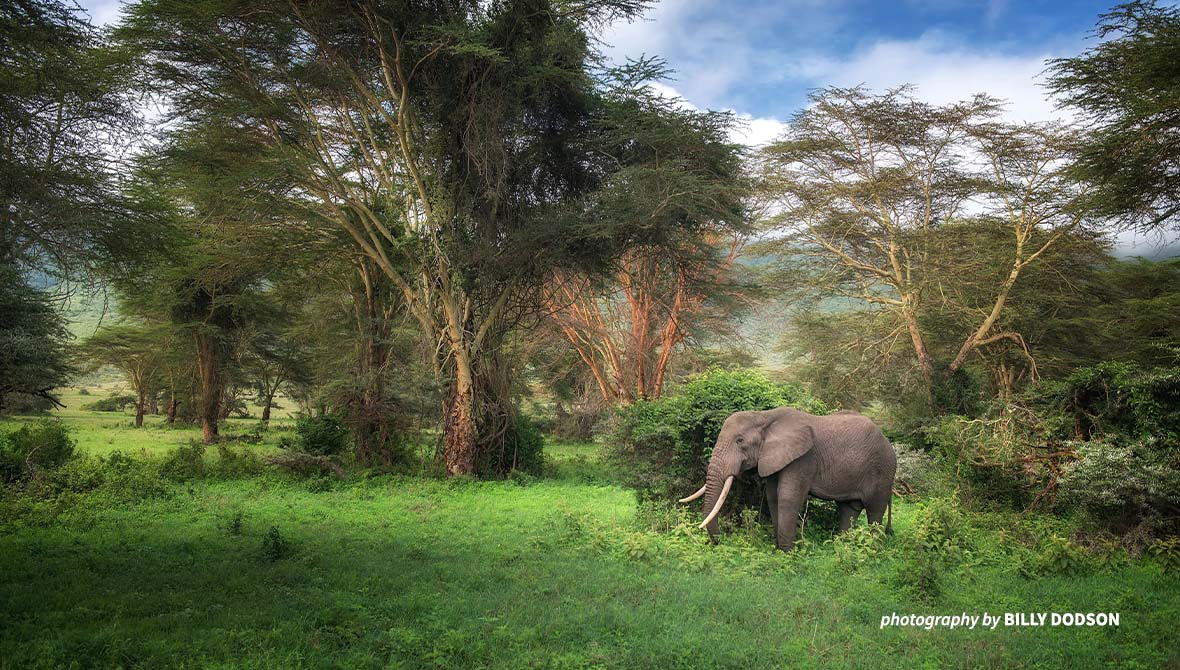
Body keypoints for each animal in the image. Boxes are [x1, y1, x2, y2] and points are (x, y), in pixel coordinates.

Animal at [684, 405, 892, 552]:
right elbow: (773, 497)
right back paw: (843, 546)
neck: (764, 417)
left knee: (874, 511)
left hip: (882, 470)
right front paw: (780, 550)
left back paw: (873, 549)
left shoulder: (803, 458)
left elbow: (787, 497)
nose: (718, 542)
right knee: (849, 510)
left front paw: (788, 553)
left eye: (740, 441)